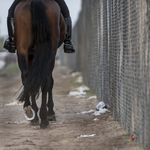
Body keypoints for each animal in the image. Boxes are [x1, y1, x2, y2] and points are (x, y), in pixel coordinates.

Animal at [14, 0, 65, 128]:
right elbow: (50, 81)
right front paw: (50, 112)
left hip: (23, 48)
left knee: (27, 76)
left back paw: (32, 113)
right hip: (49, 51)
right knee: (45, 79)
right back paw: (43, 117)